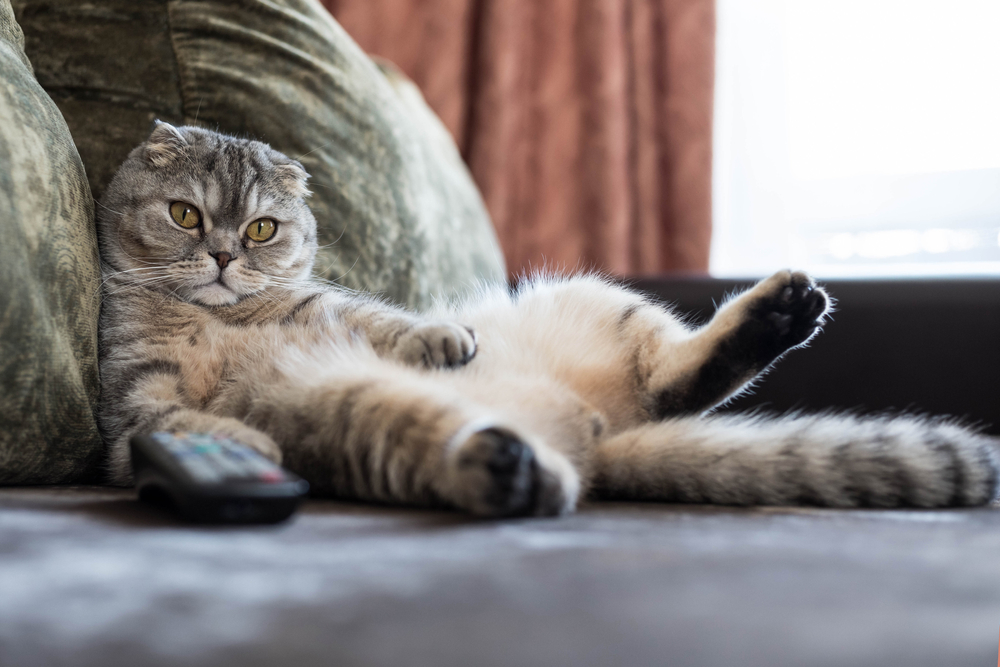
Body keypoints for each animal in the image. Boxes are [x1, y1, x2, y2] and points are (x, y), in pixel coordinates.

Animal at [95, 121, 1000, 516]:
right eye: (184, 215)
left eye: (259, 230)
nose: (222, 257)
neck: (219, 318)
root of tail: (600, 436)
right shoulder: (134, 398)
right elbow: (166, 419)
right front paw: (230, 445)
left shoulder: (338, 309)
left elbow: (391, 322)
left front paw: (443, 336)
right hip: (357, 415)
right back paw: (511, 469)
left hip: (601, 298)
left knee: (680, 373)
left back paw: (780, 311)